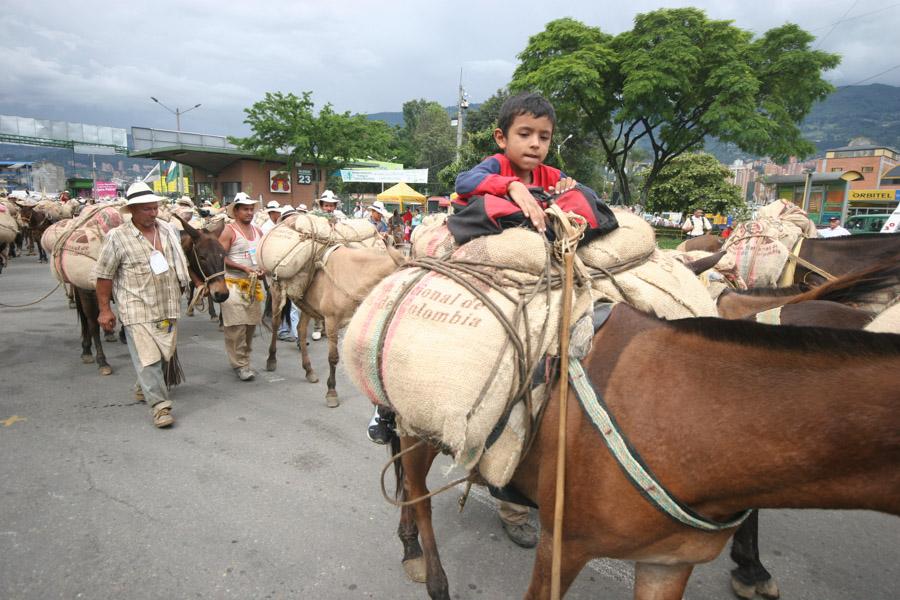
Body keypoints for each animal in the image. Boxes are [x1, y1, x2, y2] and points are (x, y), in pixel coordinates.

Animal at [264, 241, 404, 406]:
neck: (353, 276)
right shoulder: (331, 322)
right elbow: (333, 357)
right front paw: (331, 392)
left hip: (306, 305)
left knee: (301, 330)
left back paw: (309, 370)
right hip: (277, 295)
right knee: (275, 325)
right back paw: (271, 360)